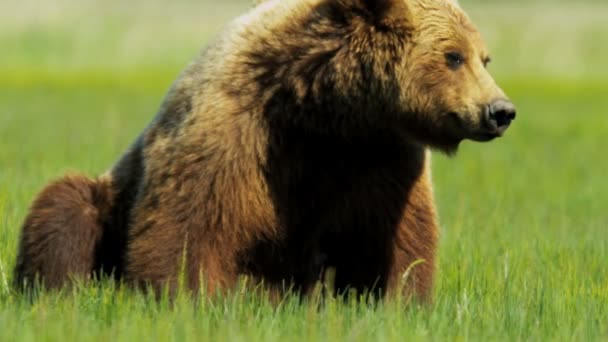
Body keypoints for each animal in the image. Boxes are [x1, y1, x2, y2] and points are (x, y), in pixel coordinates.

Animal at [13, 0, 512, 302]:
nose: (500, 110)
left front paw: (396, 299)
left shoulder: (379, 155)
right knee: (65, 207)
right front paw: (194, 297)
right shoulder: (235, 129)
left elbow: (396, 239)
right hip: (112, 199)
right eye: (453, 56)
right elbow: (190, 224)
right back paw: (60, 291)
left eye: (484, 58)